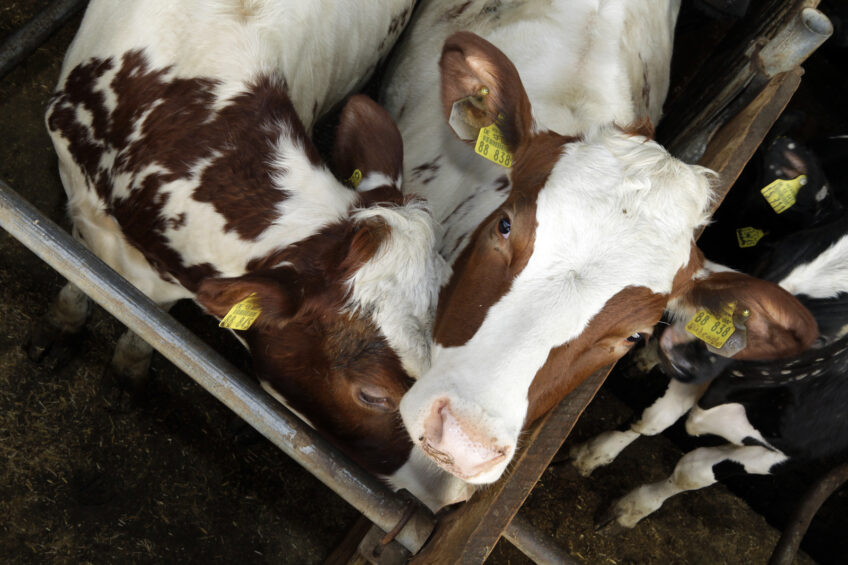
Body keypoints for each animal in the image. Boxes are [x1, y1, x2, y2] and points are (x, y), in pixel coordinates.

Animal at [43, 0, 470, 512]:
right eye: (373, 396)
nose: (458, 490)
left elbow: (148, 321)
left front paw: (129, 366)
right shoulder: (78, 193)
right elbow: (78, 272)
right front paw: (65, 324)